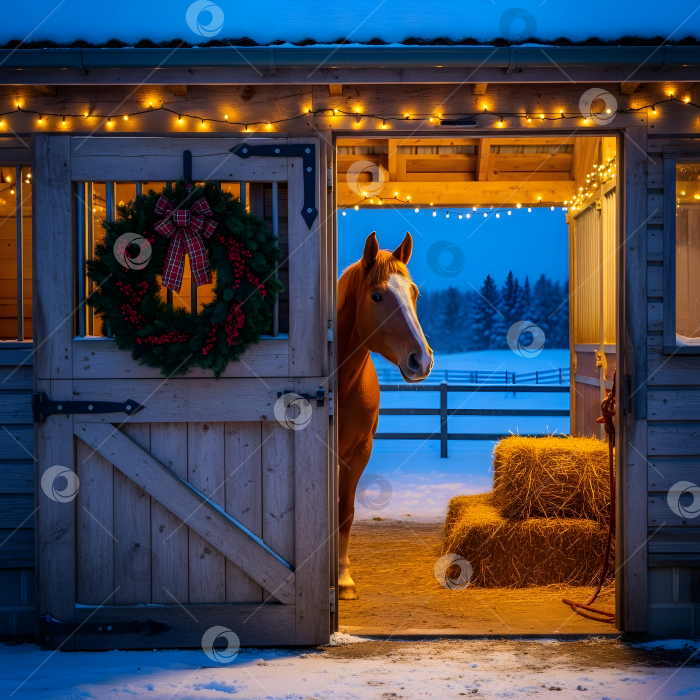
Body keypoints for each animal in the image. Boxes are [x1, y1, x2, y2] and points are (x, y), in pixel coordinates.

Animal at [337, 231, 433, 600]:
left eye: (414, 293)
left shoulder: (359, 452)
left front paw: (342, 579)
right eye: (376, 295)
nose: (422, 359)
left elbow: (344, 513)